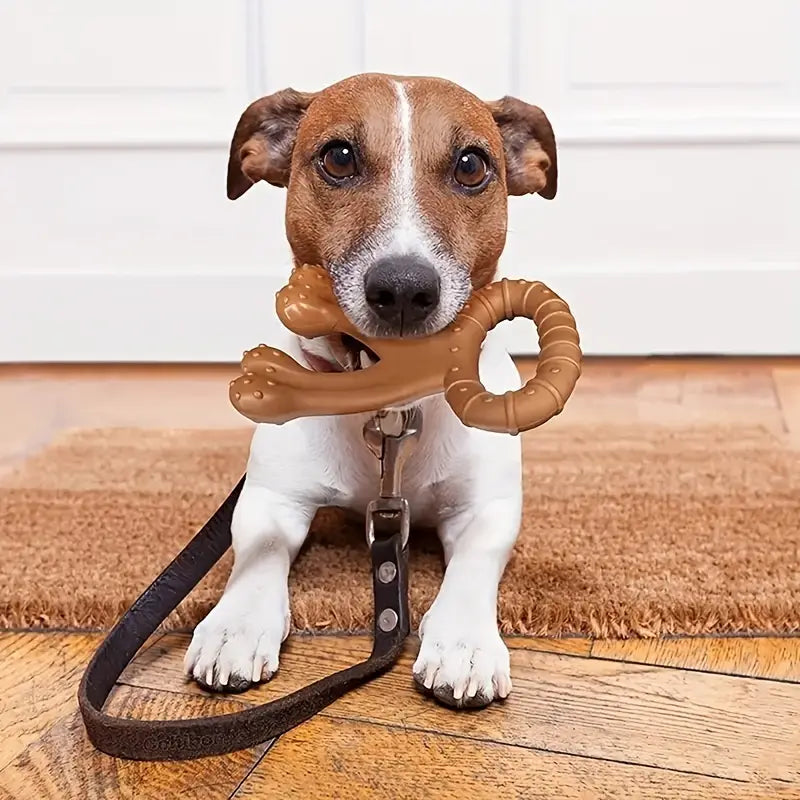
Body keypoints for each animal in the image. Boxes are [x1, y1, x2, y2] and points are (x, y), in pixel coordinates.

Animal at [184, 73, 556, 708]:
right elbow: (257, 552)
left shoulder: (486, 509)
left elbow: (475, 563)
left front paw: (463, 641)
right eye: (339, 157)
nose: (403, 289)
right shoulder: (271, 499)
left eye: (471, 165)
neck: (390, 405)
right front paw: (237, 623)